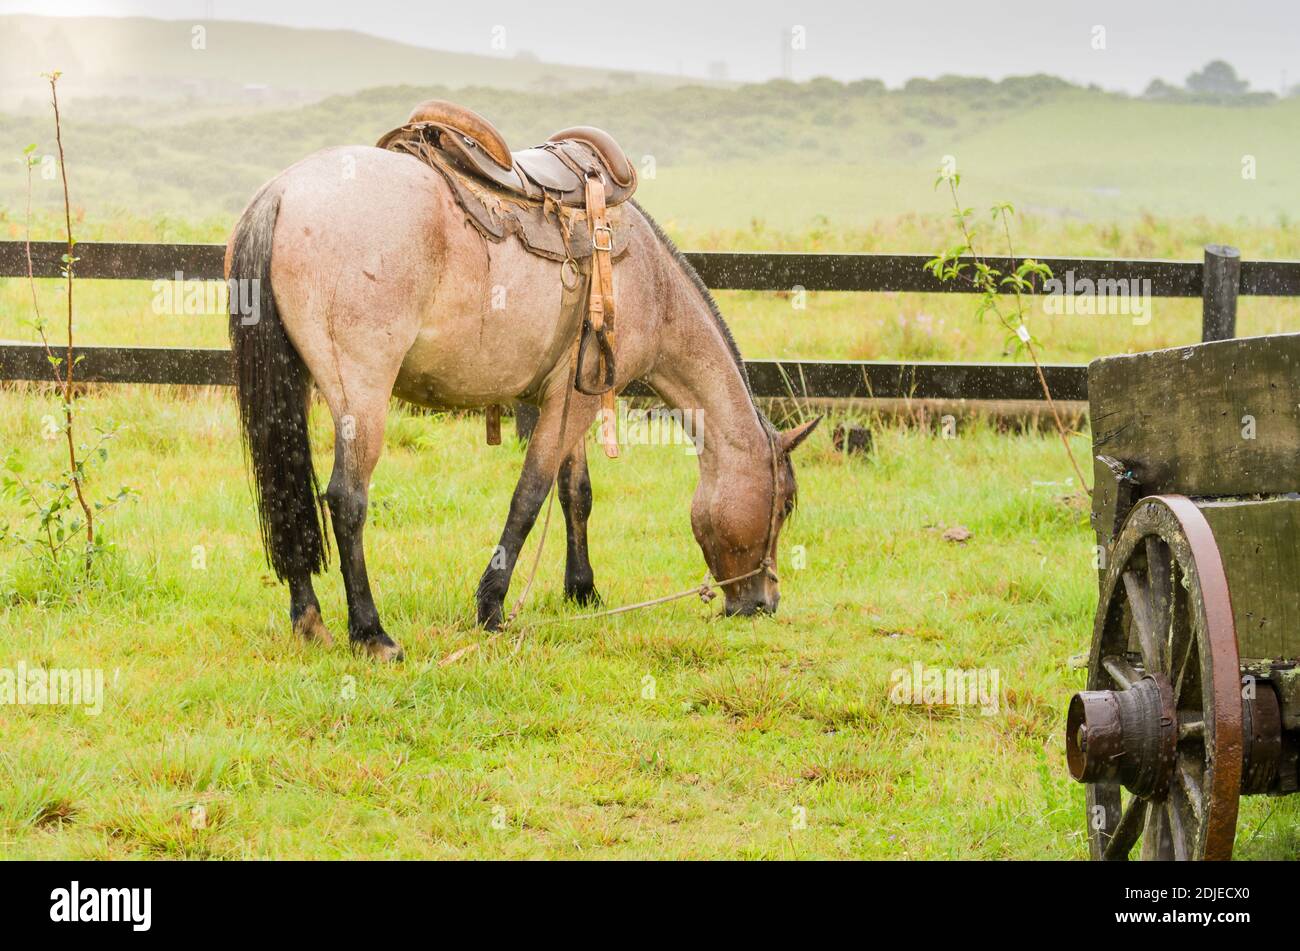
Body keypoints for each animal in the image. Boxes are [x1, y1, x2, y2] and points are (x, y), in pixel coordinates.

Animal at [226, 143, 819, 661]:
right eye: (785, 504)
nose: (763, 601)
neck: (650, 283)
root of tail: (283, 192)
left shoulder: (571, 397)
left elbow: (575, 494)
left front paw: (582, 589)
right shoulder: (572, 404)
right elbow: (529, 498)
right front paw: (491, 607)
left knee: (288, 497)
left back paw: (310, 620)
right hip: (362, 397)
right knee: (346, 500)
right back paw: (372, 634)